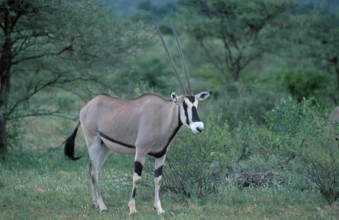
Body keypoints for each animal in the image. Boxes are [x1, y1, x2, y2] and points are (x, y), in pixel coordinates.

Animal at [63, 24, 211, 215]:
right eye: (183, 104)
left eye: (197, 104)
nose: (199, 127)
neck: (162, 116)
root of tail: (87, 106)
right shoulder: (140, 151)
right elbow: (137, 178)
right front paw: (132, 208)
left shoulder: (161, 155)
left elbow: (158, 180)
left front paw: (159, 209)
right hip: (93, 140)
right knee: (94, 171)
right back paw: (102, 206)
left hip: (105, 147)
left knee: (93, 169)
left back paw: (95, 203)